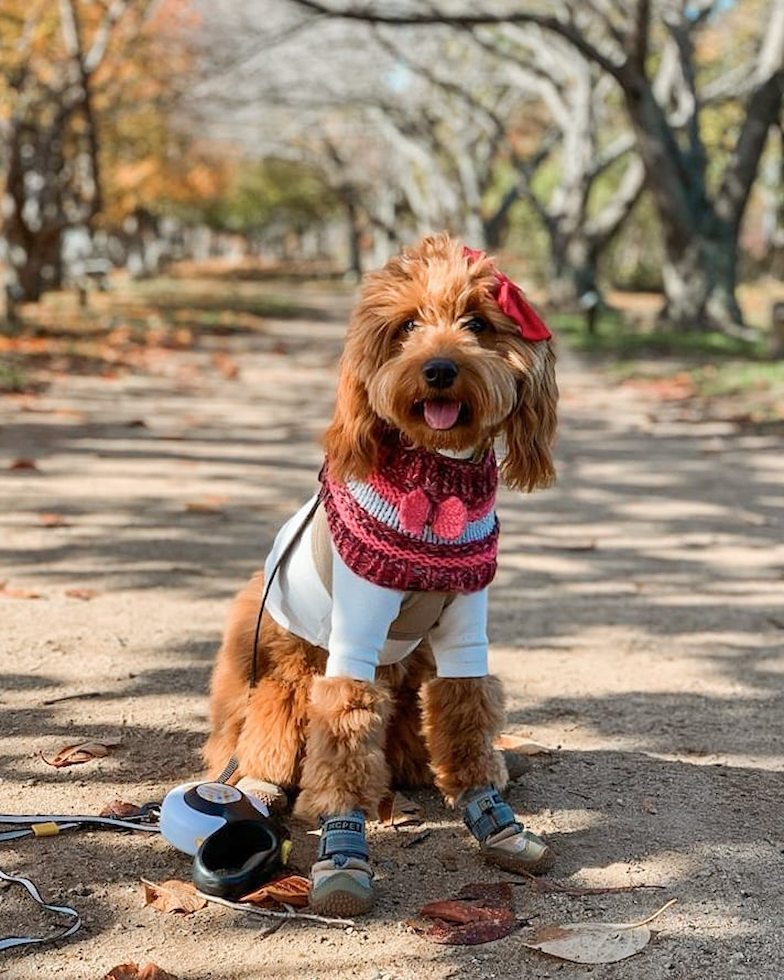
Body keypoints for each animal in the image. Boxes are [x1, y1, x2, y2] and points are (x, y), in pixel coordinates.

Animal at [202, 234, 556, 916]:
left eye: (477, 324)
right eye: (408, 326)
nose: (439, 369)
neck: (436, 483)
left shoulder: (465, 626)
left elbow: (467, 710)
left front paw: (490, 814)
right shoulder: (354, 635)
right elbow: (343, 727)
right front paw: (343, 851)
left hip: (411, 668)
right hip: (274, 670)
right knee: (263, 743)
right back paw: (258, 787)